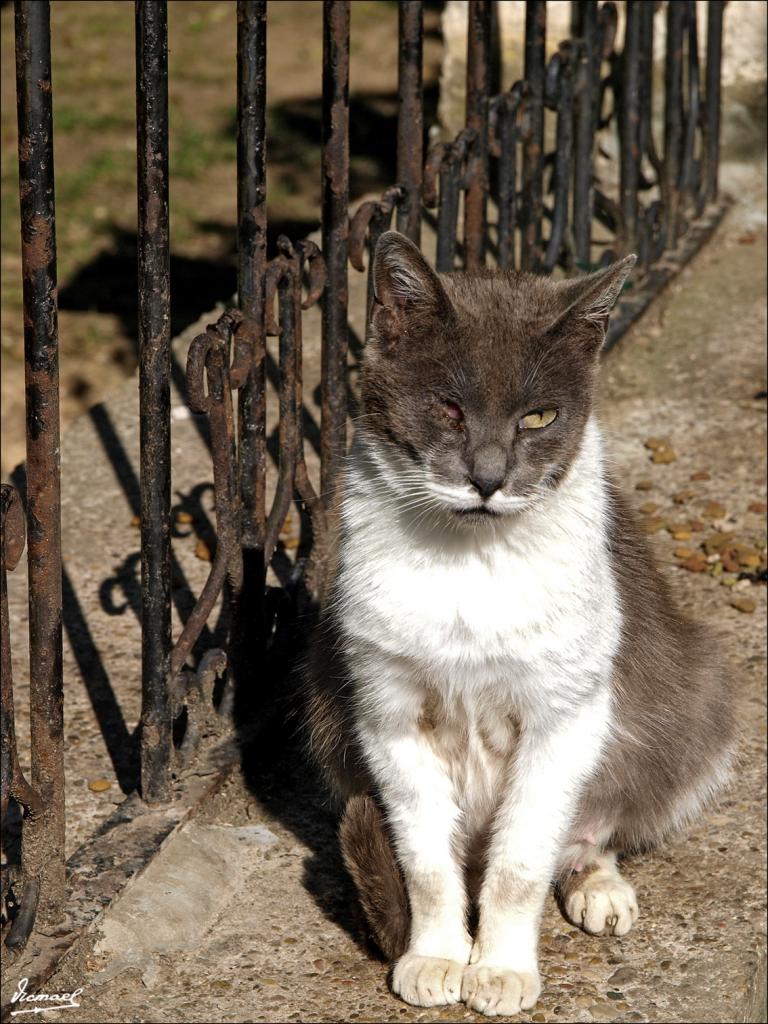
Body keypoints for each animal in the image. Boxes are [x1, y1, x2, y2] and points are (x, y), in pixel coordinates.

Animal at [303, 232, 737, 1015]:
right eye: (447, 408)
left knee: (589, 829)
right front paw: (436, 958)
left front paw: (502, 970)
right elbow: (424, 862)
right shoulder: (387, 712)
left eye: (538, 417)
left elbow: (519, 865)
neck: (472, 561)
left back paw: (599, 886)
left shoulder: (564, 717)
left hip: (697, 702)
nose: (488, 478)